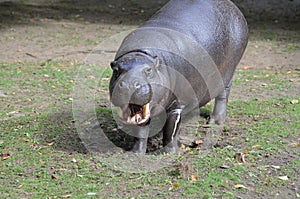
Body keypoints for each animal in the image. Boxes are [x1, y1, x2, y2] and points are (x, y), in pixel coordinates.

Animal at [109, 0, 247, 154]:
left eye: (148, 70)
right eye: (116, 70)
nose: (128, 85)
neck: (142, 54)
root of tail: (233, 6)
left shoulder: (178, 104)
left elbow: (171, 129)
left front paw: (168, 153)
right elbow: (140, 131)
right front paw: (135, 153)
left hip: (228, 72)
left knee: (223, 95)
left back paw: (215, 121)